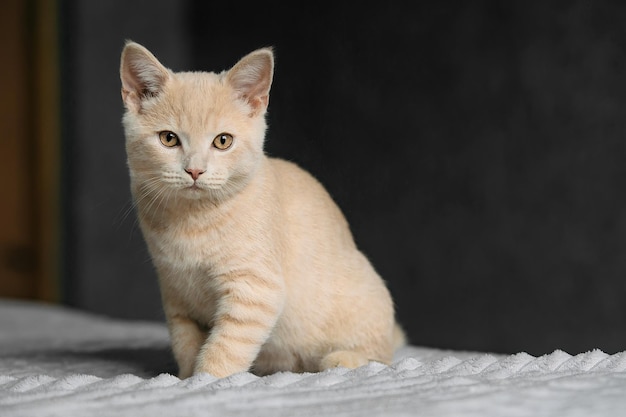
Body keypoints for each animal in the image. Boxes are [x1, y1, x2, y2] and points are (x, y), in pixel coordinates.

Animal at [120, 41, 404, 376]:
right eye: (168, 139)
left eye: (223, 141)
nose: (195, 170)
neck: (192, 220)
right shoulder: (176, 295)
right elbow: (186, 344)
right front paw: (184, 378)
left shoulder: (256, 290)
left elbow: (225, 349)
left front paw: (205, 379)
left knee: (381, 356)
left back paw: (344, 359)